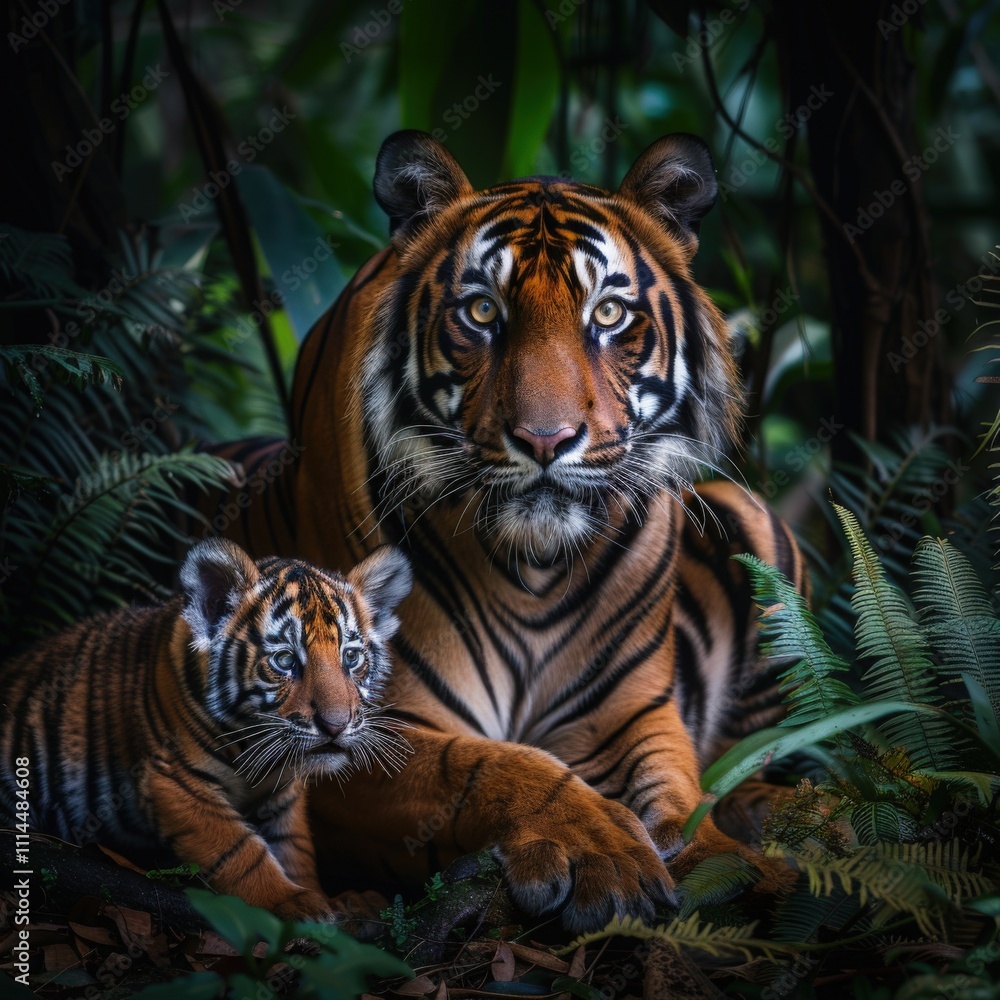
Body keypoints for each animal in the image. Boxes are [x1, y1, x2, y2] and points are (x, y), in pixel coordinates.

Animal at [0, 538, 412, 922]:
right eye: (284, 660)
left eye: (351, 657)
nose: (336, 725)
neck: (258, 752)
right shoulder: (174, 780)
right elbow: (240, 850)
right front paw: (295, 904)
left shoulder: (283, 796)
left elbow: (296, 850)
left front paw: (337, 901)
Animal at [207, 130, 809, 932]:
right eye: (482, 311)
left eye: (608, 314)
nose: (545, 439)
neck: (536, 568)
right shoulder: (352, 728)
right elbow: (492, 767)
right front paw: (602, 853)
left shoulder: (630, 712)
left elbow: (678, 794)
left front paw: (728, 864)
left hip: (760, 524)